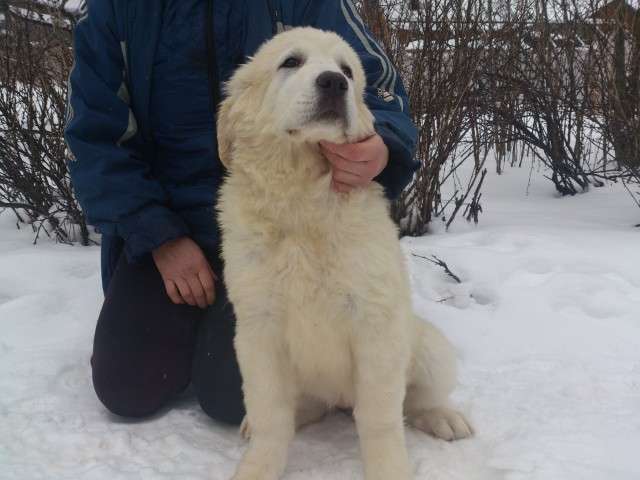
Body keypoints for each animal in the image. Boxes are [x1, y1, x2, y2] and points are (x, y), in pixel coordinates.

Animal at [218, 27, 472, 480]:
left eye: (348, 71)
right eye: (291, 62)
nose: (334, 83)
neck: (302, 199)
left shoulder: (376, 325)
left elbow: (380, 418)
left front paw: (390, 471)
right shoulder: (258, 329)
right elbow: (269, 414)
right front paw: (258, 467)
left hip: (429, 347)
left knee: (416, 401)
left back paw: (444, 418)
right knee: (303, 407)